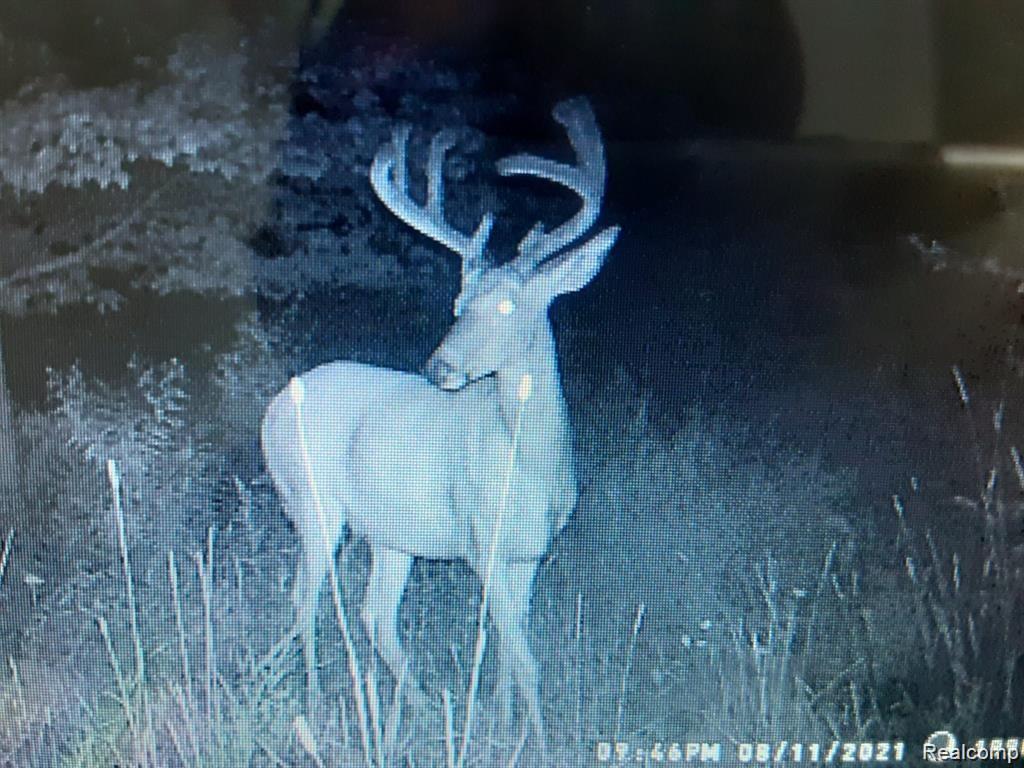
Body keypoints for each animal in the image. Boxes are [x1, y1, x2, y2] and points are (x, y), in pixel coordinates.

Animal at [260, 97, 619, 751]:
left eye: (505, 305)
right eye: (457, 304)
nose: (439, 368)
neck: (532, 462)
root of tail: (274, 405)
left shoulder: (529, 553)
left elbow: (506, 649)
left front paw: (502, 722)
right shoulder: (482, 540)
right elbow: (524, 658)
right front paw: (540, 740)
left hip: (391, 530)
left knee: (375, 613)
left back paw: (421, 706)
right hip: (313, 502)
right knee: (305, 598)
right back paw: (314, 699)